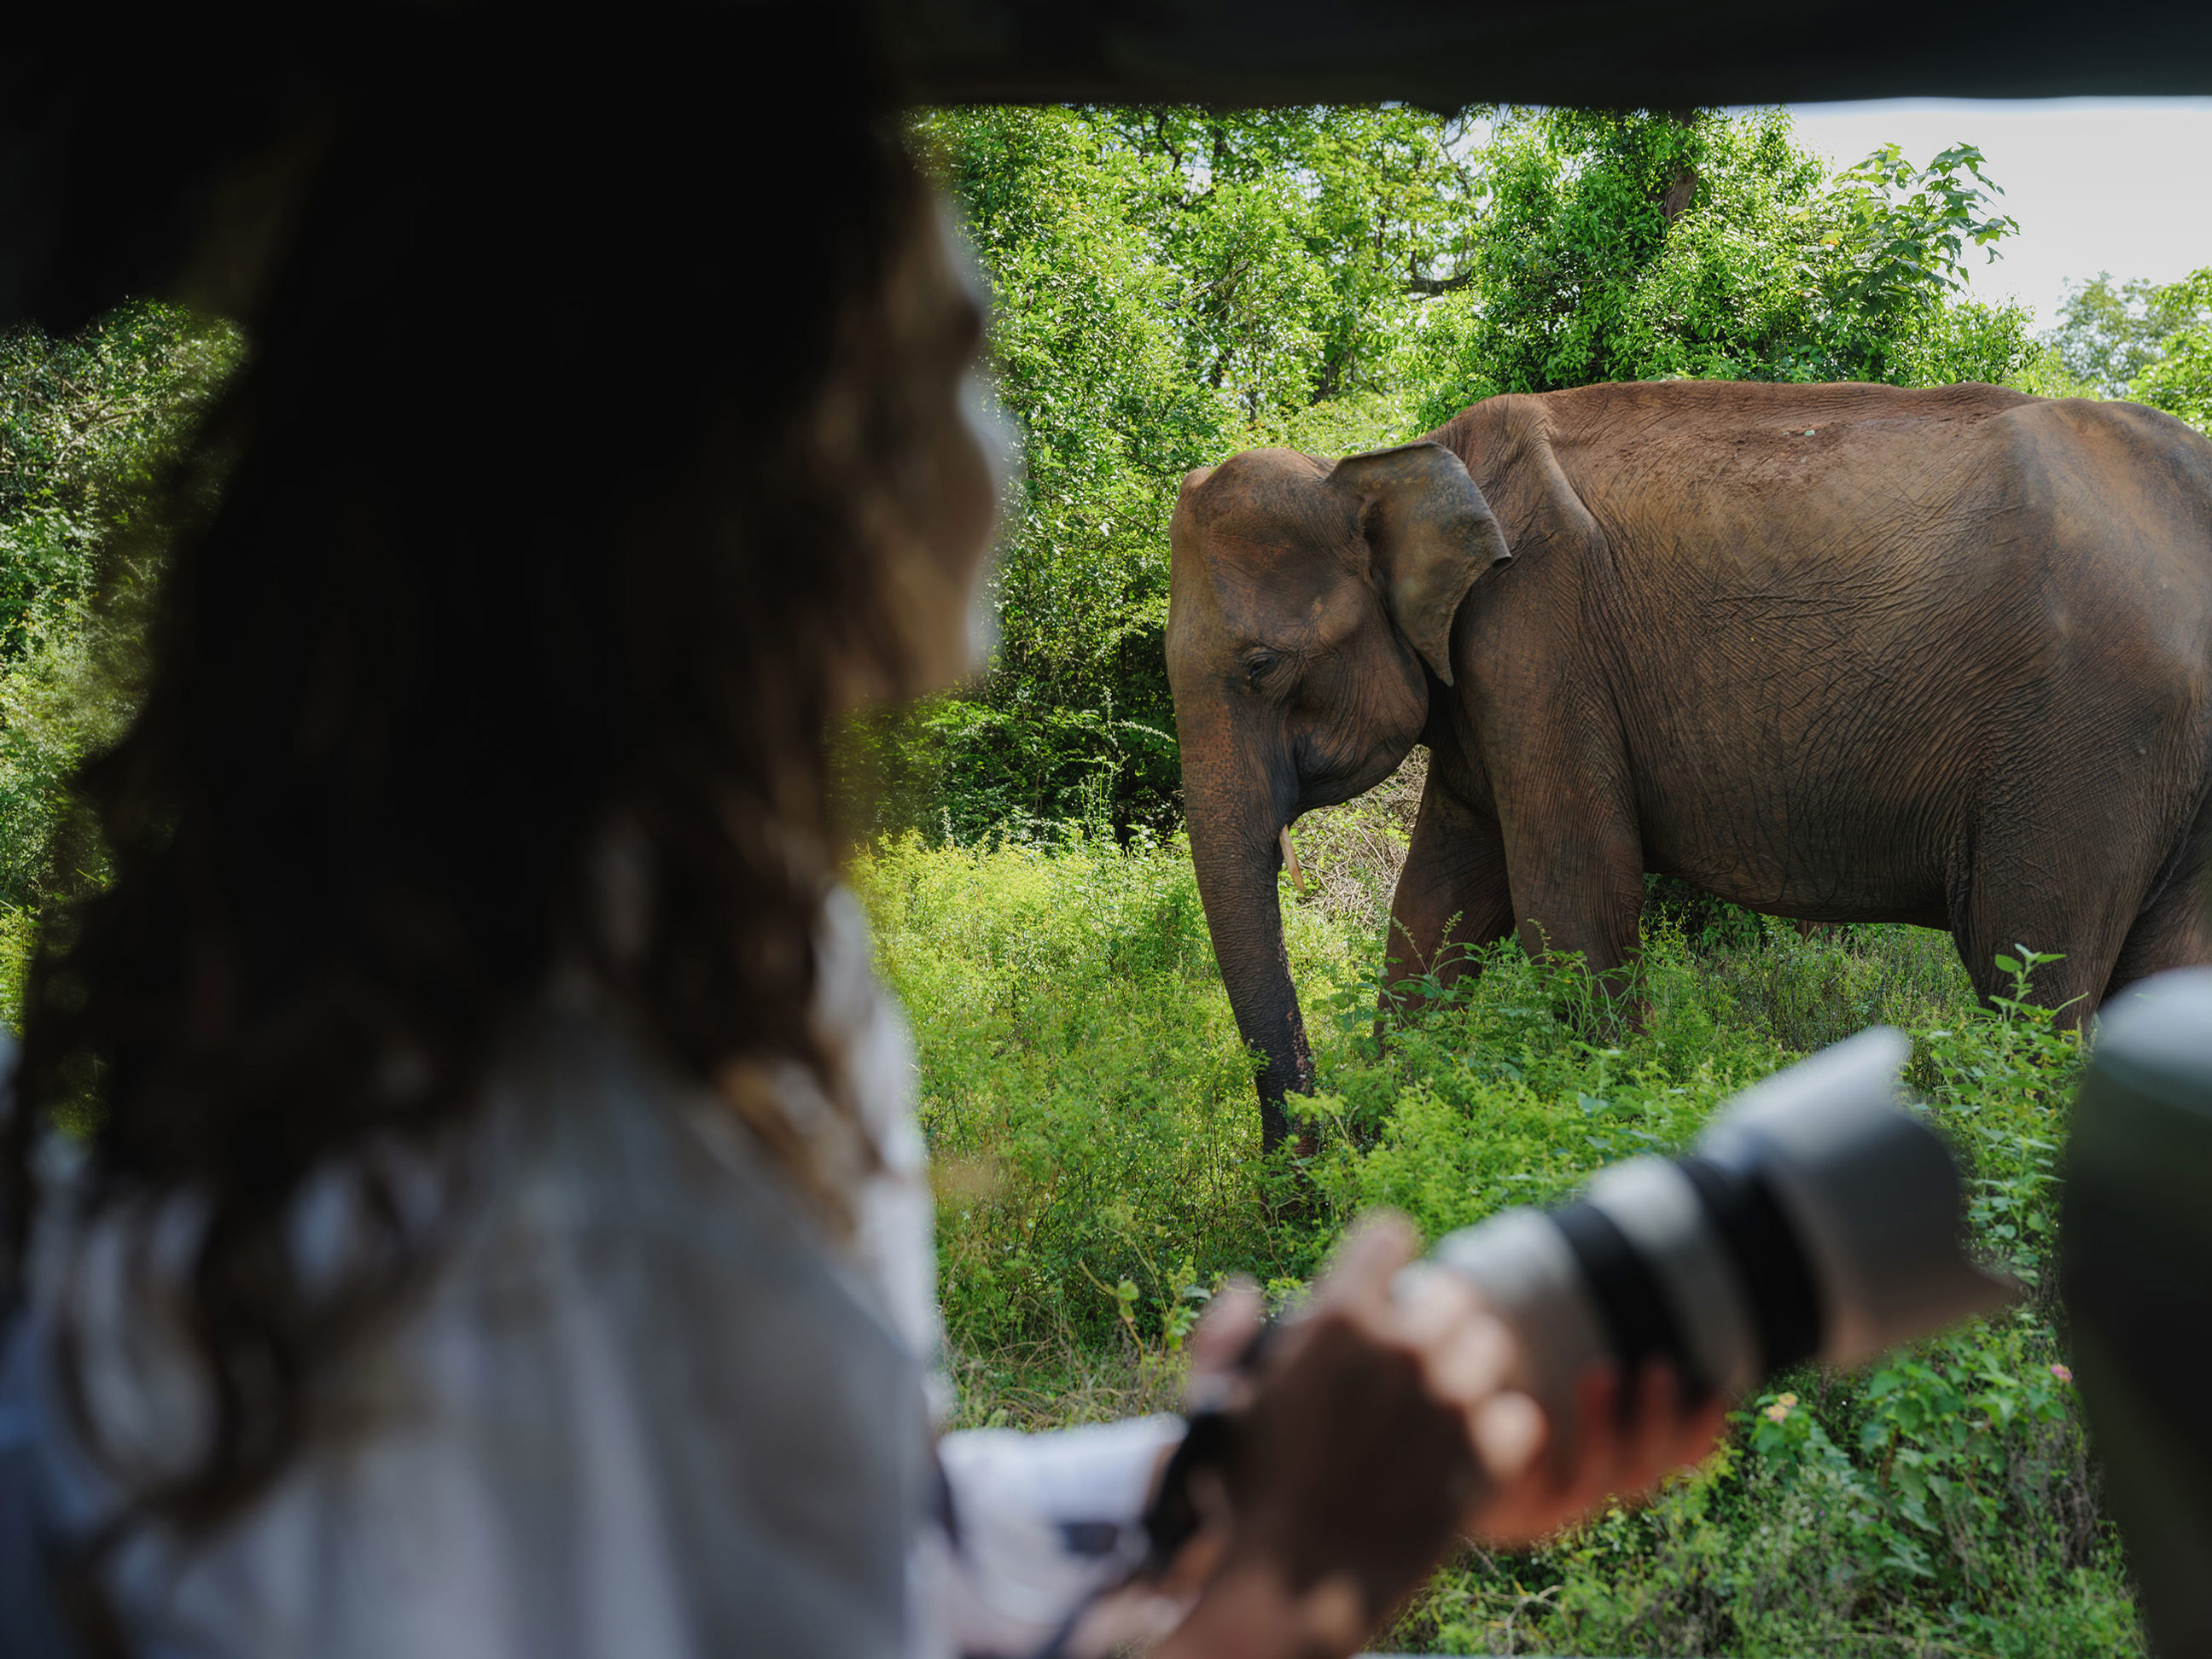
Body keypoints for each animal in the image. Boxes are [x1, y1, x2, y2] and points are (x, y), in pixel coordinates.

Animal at [1164, 380, 2212, 1146]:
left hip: (2089, 741)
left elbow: (1571, 910)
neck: (1394, 460)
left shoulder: (1536, 643)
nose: (1311, 1157)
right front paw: (1402, 1132)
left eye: (1260, 667)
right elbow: (1436, 907)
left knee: (2029, 978)